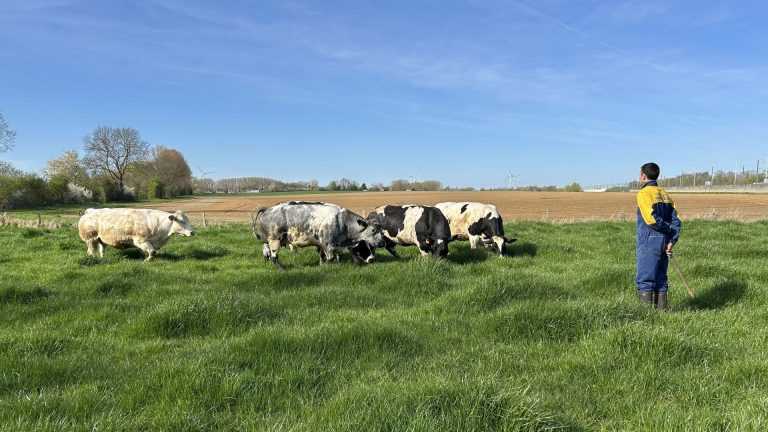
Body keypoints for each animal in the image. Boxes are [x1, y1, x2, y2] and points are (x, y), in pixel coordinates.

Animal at [251, 201, 384, 270]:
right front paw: (325, 267)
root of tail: (267, 209)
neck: (342, 221)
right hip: (275, 240)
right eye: (373, 230)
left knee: (266, 252)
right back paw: (282, 268)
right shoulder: (327, 244)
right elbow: (329, 258)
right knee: (274, 257)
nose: (372, 259)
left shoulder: (330, 245)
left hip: (268, 241)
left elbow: (332, 256)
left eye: (371, 248)